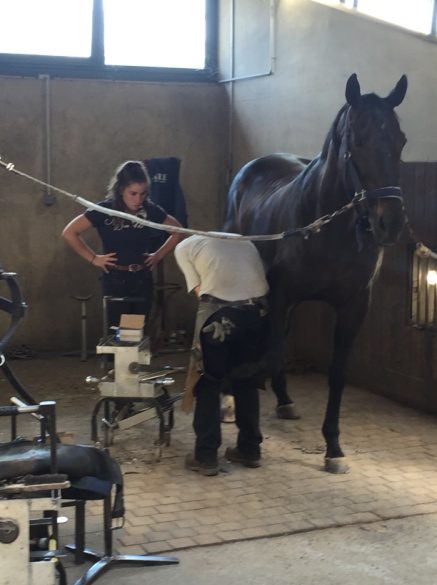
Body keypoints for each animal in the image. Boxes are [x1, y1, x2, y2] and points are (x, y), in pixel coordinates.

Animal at [223, 74, 408, 474]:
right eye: (358, 140)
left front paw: (333, 447)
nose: (390, 223)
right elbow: (272, 353)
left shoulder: (353, 306)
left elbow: (336, 374)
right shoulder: (281, 294)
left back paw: (284, 401)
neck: (325, 226)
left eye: (401, 140)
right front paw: (249, 435)